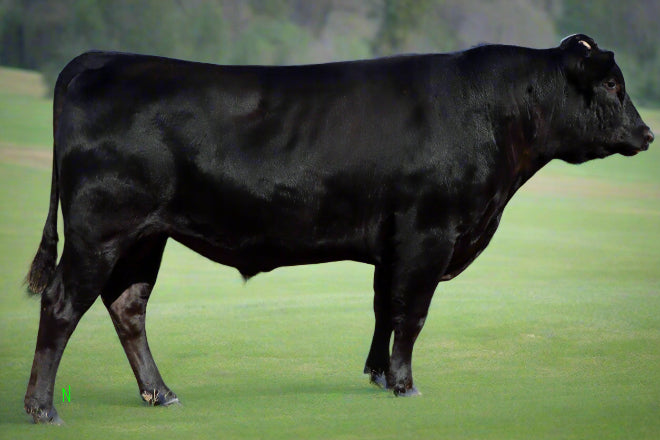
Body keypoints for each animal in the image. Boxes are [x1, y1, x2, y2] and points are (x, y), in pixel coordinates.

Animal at [24, 35, 648, 422]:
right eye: (614, 87)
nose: (647, 134)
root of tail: (101, 59)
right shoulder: (428, 233)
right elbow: (412, 314)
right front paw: (404, 384)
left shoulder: (394, 244)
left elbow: (384, 308)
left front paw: (377, 374)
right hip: (101, 230)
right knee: (62, 304)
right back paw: (42, 407)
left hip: (142, 238)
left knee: (127, 307)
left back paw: (161, 393)